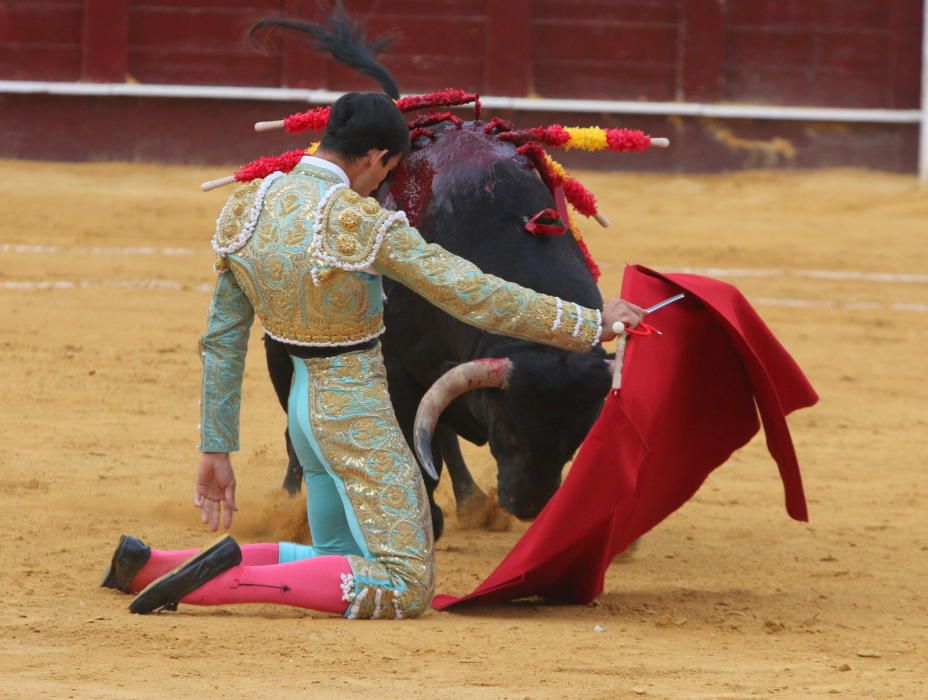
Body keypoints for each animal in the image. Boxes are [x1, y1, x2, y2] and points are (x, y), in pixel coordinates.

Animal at [262, 121, 608, 536]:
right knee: (293, 425)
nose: (527, 507)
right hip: (279, 353)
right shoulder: (398, 373)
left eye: (575, 441)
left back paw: (473, 501)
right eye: (508, 430)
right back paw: (289, 505)